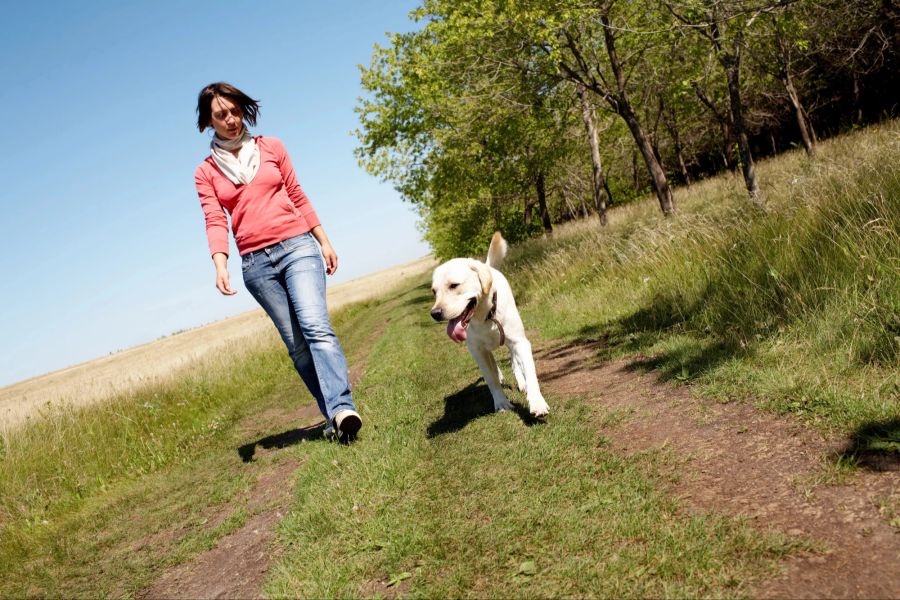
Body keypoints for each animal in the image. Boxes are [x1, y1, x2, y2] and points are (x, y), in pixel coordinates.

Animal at [428, 231, 548, 418]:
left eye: (454, 285)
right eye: (434, 292)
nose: (435, 314)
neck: (485, 317)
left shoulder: (520, 342)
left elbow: (529, 373)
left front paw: (537, 402)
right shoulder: (477, 351)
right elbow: (491, 378)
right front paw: (501, 402)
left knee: (514, 362)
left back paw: (521, 383)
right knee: (493, 365)